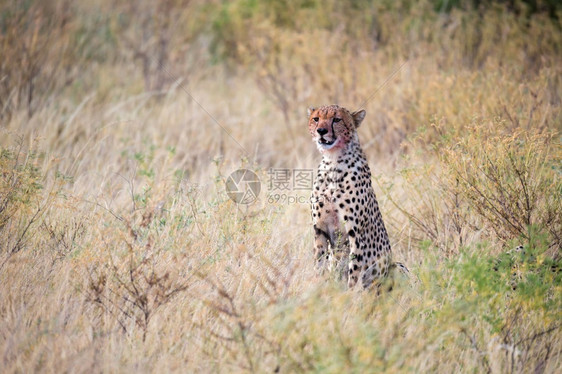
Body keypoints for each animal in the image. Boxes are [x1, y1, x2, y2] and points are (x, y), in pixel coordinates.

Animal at [308, 105, 404, 290]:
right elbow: (318, 264)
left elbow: (354, 271)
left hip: (396, 267)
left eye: (336, 119)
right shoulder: (320, 229)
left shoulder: (356, 233)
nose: (321, 131)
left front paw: (350, 295)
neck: (333, 162)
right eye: (316, 119)